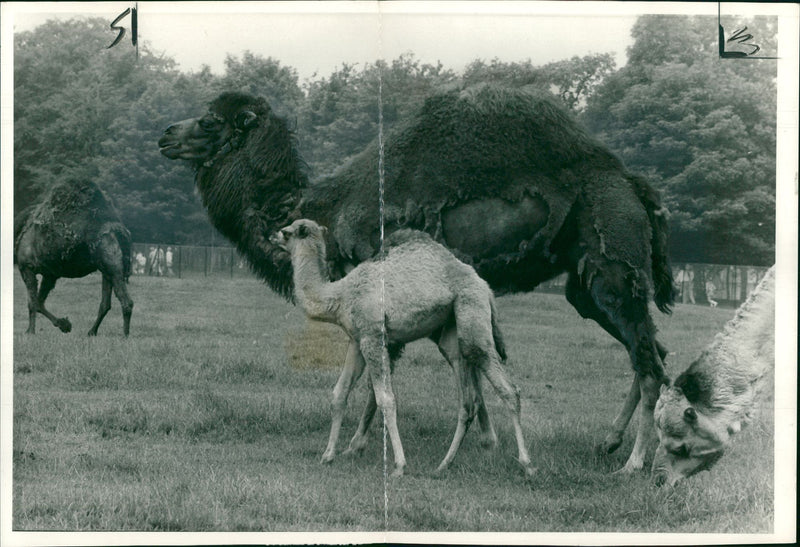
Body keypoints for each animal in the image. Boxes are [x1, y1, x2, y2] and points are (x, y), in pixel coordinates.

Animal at [272, 219, 536, 480]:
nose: (272, 236)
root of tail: (485, 286)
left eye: (287, 231)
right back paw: (444, 464)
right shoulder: (357, 340)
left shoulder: (373, 336)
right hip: (452, 329)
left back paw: (526, 464)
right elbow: (340, 393)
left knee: (505, 386)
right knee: (467, 398)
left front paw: (399, 465)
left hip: (471, 308)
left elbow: (386, 399)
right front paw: (328, 456)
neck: (340, 295)